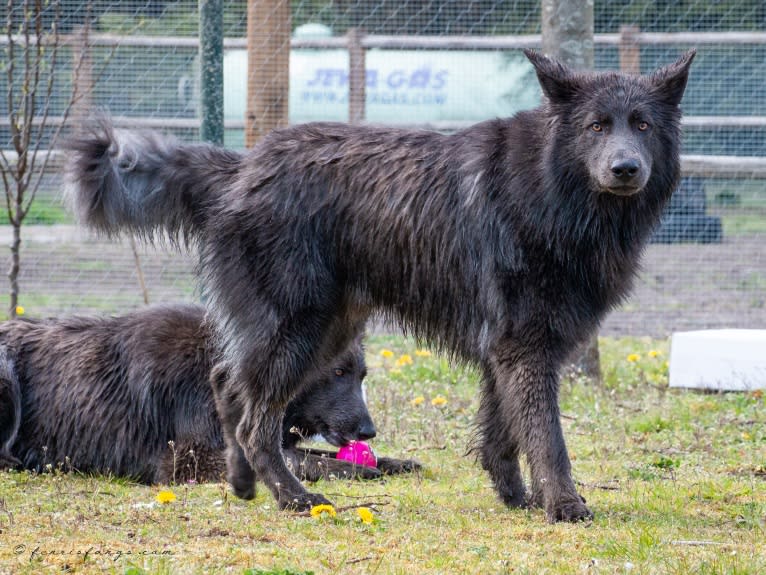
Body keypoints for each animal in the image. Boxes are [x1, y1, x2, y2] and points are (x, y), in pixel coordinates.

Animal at [0, 306, 420, 486]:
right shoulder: (189, 460)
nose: (369, 432)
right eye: (337, 373)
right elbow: (310, 462)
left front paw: (394, 461)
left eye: (361, 376)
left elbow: (312, 455)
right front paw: (363, 469)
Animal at [66, 50, 696, 520]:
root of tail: (242, 170)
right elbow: (547, 438)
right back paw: (293, 496)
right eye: (596, 127)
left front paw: (514, 496)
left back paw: (245, 485)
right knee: (252, 415)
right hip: (301, 329)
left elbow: (503, 432)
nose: (625, 169)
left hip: (323, 333)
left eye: (641, 125)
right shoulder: (525, 347)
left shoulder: (507, 351)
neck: (553, 187)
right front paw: (563, 504)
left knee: (227, 383)